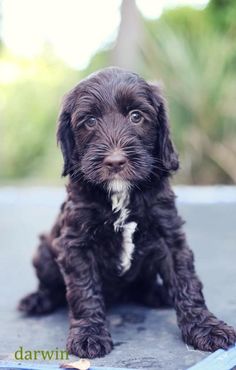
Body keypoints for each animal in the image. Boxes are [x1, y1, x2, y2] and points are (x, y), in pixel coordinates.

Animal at [18, 66, 236, 358]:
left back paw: (158, 293)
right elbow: (83, 290)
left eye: (136, 116)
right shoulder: (76, 243)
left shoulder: (169, 234)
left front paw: (207, 327)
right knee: (51, 286)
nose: (115, 161)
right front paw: (88, 334)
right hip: (43, 251)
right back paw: (37, 299)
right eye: (89, 121)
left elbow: (186, 280)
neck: (121, 193)